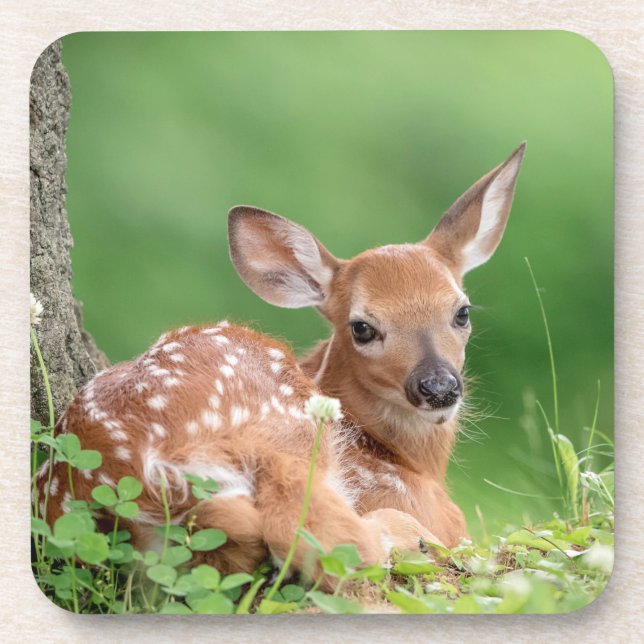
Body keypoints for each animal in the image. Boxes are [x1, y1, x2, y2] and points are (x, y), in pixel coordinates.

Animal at [37, 142, 525, 582]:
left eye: (462, 311)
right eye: (362, 328)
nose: (438, 387)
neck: (408, 461)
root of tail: (144, 472)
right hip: (285, 433)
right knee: (323, 537)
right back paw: (409, 537)